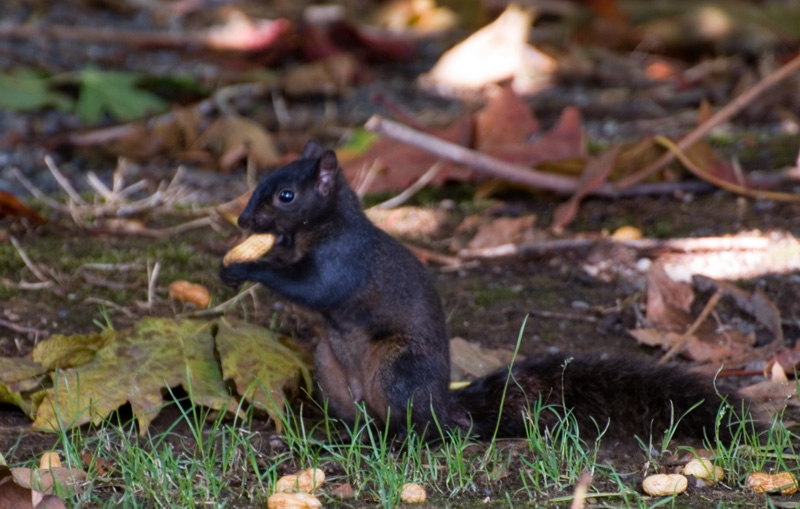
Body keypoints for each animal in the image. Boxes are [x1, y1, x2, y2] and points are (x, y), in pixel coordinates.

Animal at [220, 141, 747, 442]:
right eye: (262, 181)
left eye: (286, 195)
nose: (243, 220)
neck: (316, 230)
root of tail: (443, 406)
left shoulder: (344, 261)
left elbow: (312, 287)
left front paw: (245, 267)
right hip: (330, 367)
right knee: (366, 417)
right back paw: (346, 436)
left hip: (397, 367)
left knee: (422, 429)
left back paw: (401, 438)